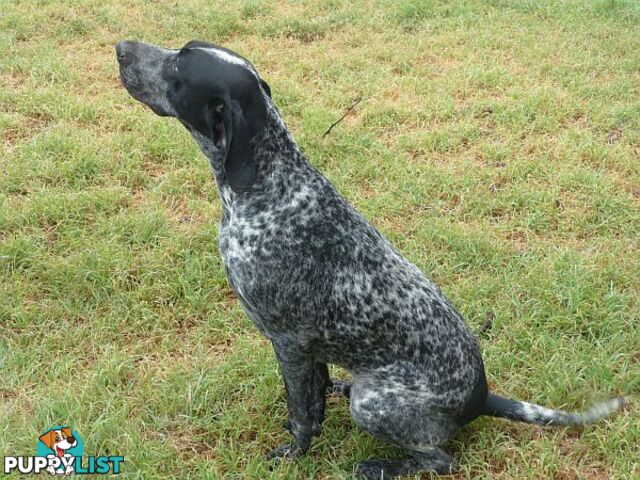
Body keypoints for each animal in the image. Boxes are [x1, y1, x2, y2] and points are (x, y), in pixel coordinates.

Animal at [115, 39, 624, 478]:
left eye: (178, 66)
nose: (120, 47)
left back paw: (381, 466)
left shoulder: (288, 343)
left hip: (372, 399)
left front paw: (293, 455)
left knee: (441, 460)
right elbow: (314, 402)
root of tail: (480, 399)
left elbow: (302, 415)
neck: (270, 187)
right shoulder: (308, 351)